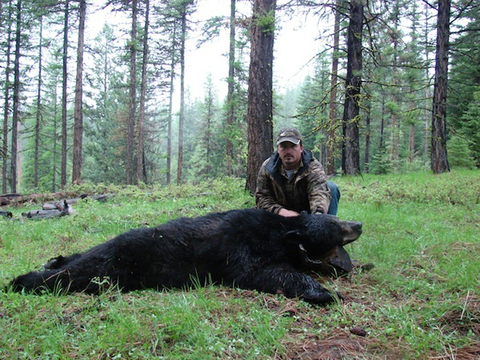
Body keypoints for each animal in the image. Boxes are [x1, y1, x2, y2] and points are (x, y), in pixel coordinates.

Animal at [7, 208, 362, 304]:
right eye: (335, 223)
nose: (358, 223)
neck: (278, 232)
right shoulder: (239, 246)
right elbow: (264, 271)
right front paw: (326, 293)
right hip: (120, 261)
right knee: (81, 272)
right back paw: (22, 279)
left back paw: (53, 260)